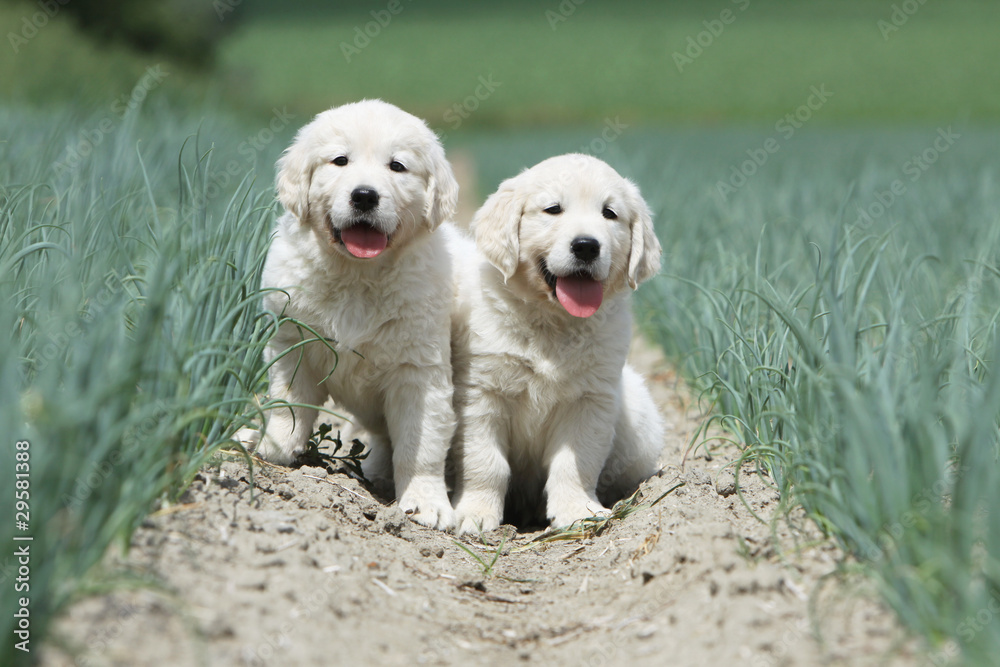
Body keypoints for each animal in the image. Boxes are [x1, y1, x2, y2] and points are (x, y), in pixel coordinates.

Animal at [248, 98, 458, 532]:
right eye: (340, 160)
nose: (364, 196)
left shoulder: (419, 370)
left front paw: (425, 501)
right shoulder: (292, 339)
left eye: (397, 166)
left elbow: (422, 441)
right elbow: (288, 402)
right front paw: (275, 448)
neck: (358, 275)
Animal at [450, 154, 668, 536]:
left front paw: (578, 511)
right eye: (553, 209)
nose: (586, 246)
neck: (553, 323)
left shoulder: (590, 401)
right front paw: (475, 513)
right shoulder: (481, 394)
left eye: (609, 213)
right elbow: (484, 461)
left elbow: (576, 462)